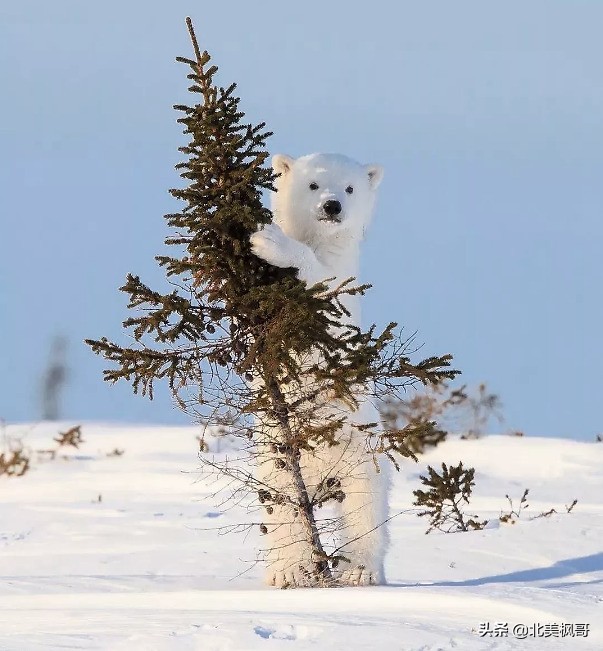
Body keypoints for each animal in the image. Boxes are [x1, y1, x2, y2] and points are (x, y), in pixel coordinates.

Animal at [249, 154, 386, 592]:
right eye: (312, 184)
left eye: (350, 188)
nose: (332, 206)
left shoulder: (345, 287)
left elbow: (325, 291)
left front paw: (269, 241)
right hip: (274, 455)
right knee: (282, 508)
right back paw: (287, 570)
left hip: (362, 454)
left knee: (364, 511)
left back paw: (359, 570)